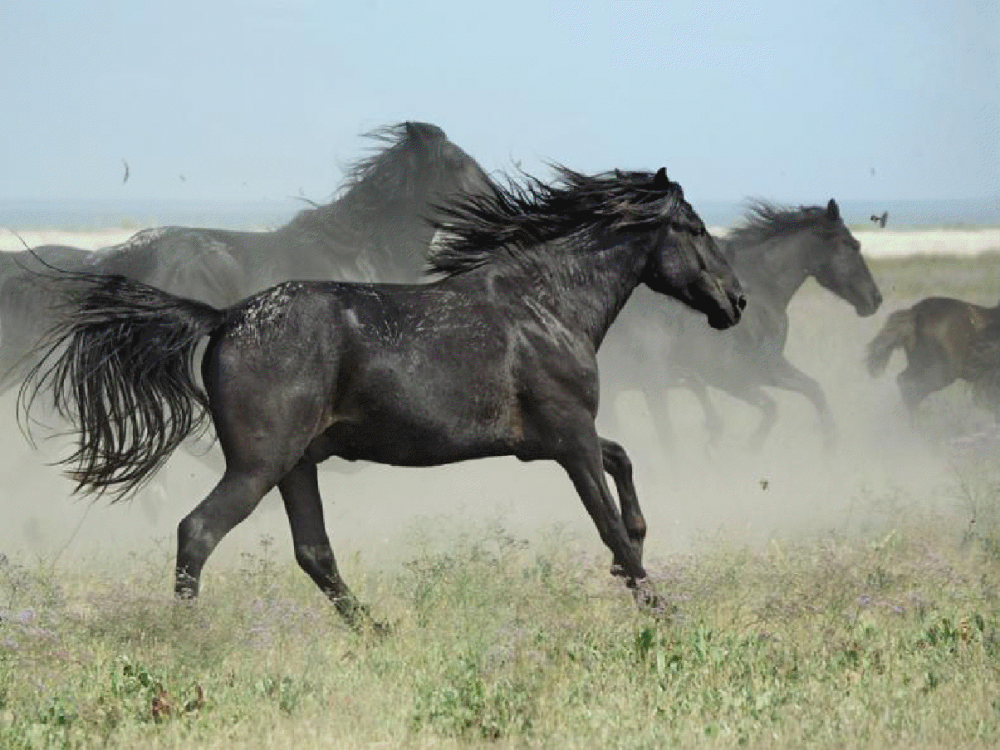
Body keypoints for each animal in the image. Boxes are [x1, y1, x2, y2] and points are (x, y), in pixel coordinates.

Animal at [21, 167, 744, 632]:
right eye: (694, 228)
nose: (735, 302)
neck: (545, 305)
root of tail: (222, 318)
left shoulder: (550, 441)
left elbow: (624, 469)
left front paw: (638, 559)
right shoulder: (568, 437)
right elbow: (606, 520)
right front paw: (660, 608)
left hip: (297, 465)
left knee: (314, 553)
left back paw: (377, 631)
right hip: (258, 465)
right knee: (198, 532)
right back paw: (189, 640)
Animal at [596, 200, 880, 452]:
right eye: (852, 245)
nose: (876, 299)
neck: (761, 290)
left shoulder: (763, 369)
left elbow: (809, 390)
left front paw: (828, 444)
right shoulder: (735, 375)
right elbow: (775, 405)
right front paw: (747, 447)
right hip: (650, 374)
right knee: (664, 430)